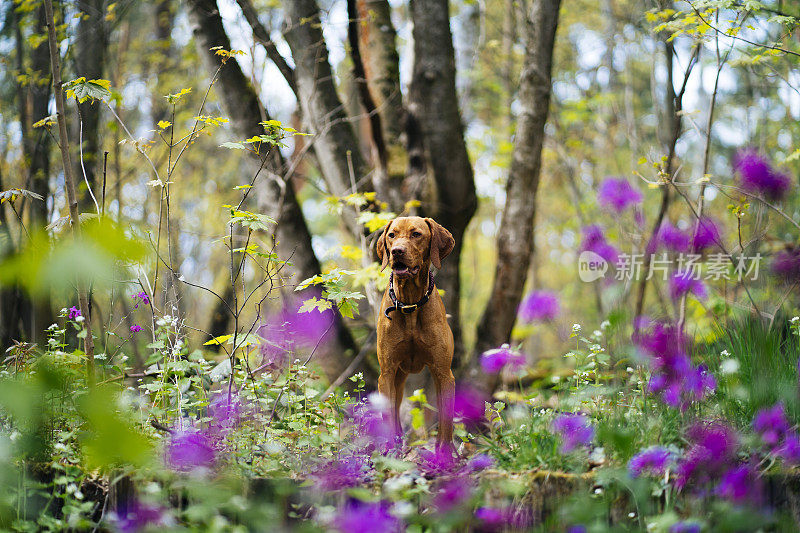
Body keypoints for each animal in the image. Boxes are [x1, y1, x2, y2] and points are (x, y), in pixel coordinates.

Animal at [376, 215, 456, 448]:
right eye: (391, 235)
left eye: (416, 234)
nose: (396, 251)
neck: (410, 303)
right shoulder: (387, 373)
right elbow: (388, 416)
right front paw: (388, 451)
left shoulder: (444, 373)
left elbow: (446, 422)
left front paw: (445, 453)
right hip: (398, 378)